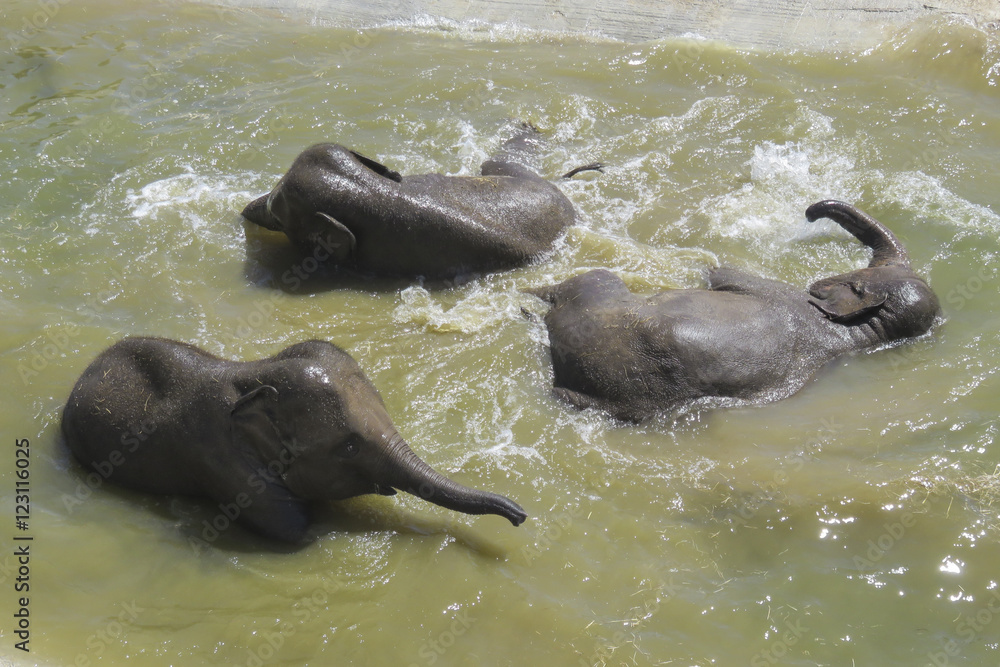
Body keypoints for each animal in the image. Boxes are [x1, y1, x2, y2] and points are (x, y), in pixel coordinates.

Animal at [530, 201, 940, 422]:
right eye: (867, 269)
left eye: (858, 277)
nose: (810, 212)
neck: (856, 335)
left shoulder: (763, 287)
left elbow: (720, 272)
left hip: (595, 303)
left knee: (582, 284)